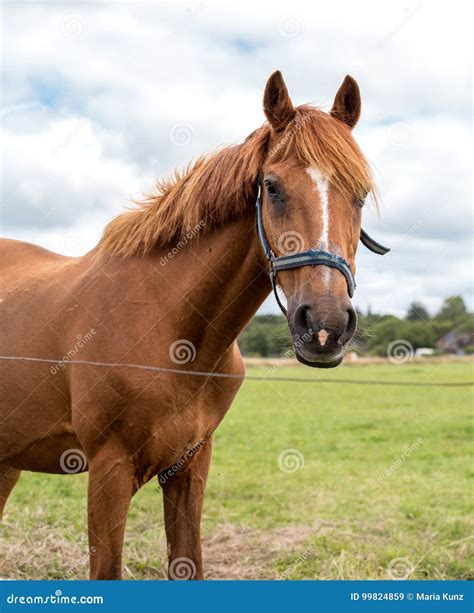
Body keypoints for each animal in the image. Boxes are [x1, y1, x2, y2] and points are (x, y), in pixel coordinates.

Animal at [0, 71, 384, 580]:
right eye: (272, 187)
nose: (325, 325)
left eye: (359, 195)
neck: (173, 333)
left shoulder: (190, 466)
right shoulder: (108, 470)